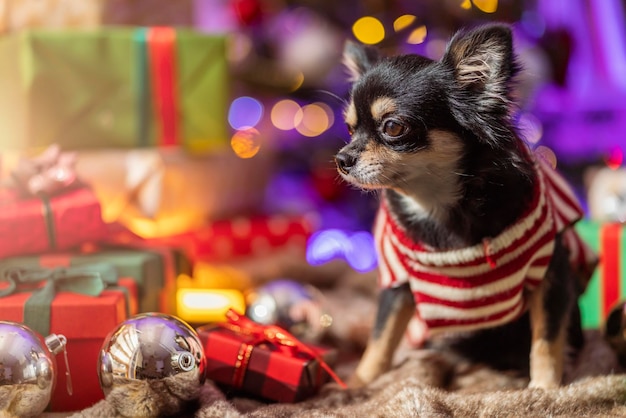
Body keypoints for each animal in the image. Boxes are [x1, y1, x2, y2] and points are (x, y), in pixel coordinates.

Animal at [332, 23, 596, 388]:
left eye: (393, 127)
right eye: (349, 128)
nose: (342, 159)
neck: (435, 203)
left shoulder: (551, 272)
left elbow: (546, 338)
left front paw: (545, 389)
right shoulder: (397, 281)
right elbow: (381, 338)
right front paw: (359, 384)